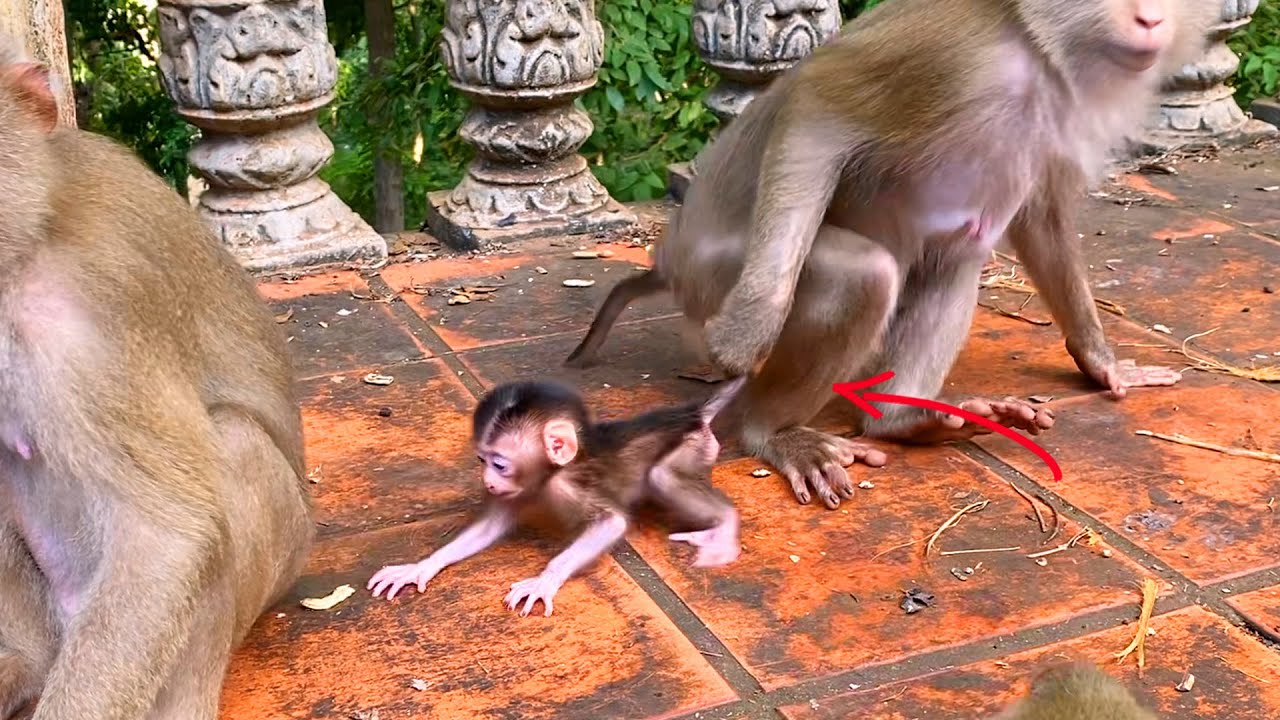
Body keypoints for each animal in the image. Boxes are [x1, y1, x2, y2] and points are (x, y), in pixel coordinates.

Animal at [367, 377, 746, 617]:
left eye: (499, 464)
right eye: (481, 460)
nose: (487, 482)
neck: (550, 475)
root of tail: (692, 415)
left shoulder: (570, 485)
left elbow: (611, 523)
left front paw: (544, 580)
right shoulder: (518, 490)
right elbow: (488, 528)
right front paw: (419, 567)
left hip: (694, 447)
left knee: (661, 475)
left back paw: (725, 526)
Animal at [566, 0, 1207, 510]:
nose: (1150, 18)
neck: (1040, 54)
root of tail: (671, 261)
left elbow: (1041, 220)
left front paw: (1103, 363)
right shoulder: (954, 56)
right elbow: (817, 105)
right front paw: (748, 332)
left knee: (958, 255)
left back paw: (904, 422)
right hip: (715, 277)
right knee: (864, 273)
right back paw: (772, 430)